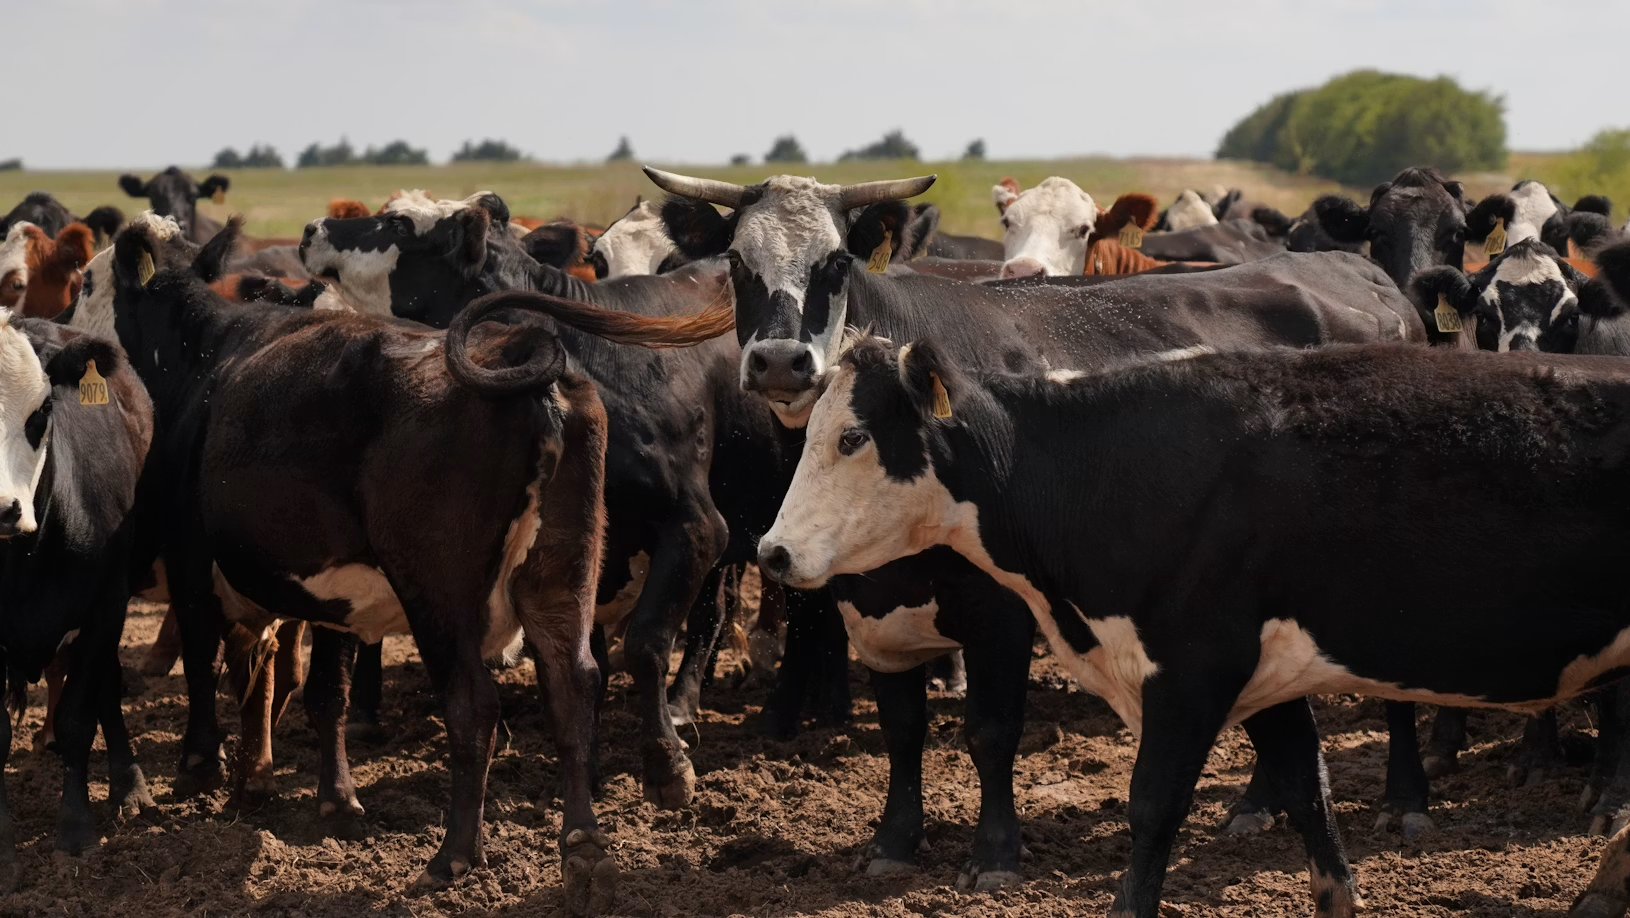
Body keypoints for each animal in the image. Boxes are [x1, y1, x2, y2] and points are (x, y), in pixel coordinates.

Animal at [0, 314, 156, 888]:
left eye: (42, 410)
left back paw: (130, 785)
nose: (3, 508)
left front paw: (75, 829)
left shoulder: (104, 609)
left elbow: (76, 720)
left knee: (107, 686)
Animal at [110, 218, 734, 910]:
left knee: (474, 706)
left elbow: (206, 663)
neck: (204, 357)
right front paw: (331, 799)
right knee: (573, 684)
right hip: (559, 577)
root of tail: (522, 362)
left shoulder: (193, 563)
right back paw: (583, 849)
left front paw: (201, 770)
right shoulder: (335, 597)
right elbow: (323, 691)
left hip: (438, 598)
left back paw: (453, 857)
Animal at [645, 165, 1423, 886]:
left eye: (836, 262)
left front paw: (995, 853)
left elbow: (991, 733)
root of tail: (1359, 272)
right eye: (737, 262)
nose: (780, 361)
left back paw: (1406, 797)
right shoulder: (874, 611)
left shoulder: (1001, 612)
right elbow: (902, 729)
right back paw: (1258, 805)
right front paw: (894, 843)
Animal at [758, 334, 1630, 918]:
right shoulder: (1273, 676)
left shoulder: (1190, 672)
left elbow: (1153, 807)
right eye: (805, 434)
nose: (773, 551)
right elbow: (1309, 799)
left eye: (853, 436)